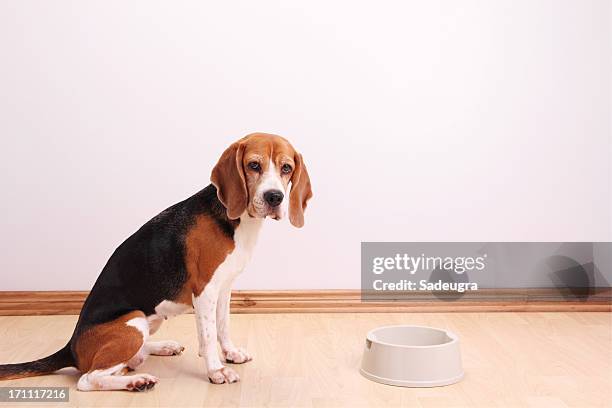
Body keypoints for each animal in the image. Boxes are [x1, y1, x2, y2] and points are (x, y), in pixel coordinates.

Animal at [0, 132, 314, 390]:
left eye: (286, 168)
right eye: (254, 165)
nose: (274, 197)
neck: (237, 219)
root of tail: (71, 347)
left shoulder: (225, 288)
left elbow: (222, 326)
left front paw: (230, 352)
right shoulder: (204, 291)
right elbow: (208, 333)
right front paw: (216, 370)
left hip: (151, 321)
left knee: (130, 357)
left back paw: (161, 348)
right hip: (134, 321)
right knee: (89, 379)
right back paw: (137, 381)